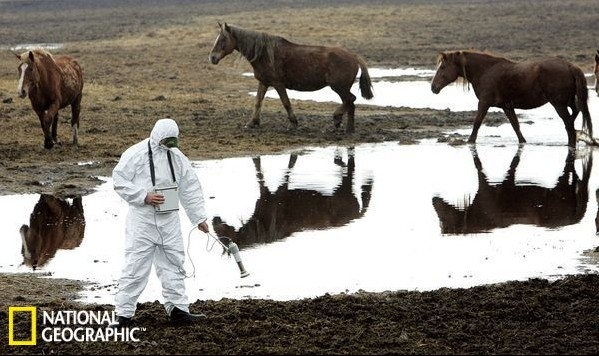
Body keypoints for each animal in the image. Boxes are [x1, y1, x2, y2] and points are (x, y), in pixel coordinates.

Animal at [209, 22, 372, 134]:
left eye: (222, 40)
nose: (212, 58)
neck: (264, 54)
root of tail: (354, 56)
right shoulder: (264, 83)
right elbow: (258, 102)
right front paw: (252, 122)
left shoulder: (278, 84)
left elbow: (286, 103)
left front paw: (293, 123)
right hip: (341, 88)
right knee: (350, 103)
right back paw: (348, 128)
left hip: (339, 87)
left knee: (350, 100)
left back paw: (337, 119)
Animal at [432, 49, 596, 147]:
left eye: (442, 67)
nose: (433, 87)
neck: (485, 71)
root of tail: (570, 66)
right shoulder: (507, 106)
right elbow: (515, 126)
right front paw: (523, 142)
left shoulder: (484, 103)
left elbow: (477, 122)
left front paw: (470, 142)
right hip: (567, 101)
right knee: (575, 114)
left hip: (559, 104)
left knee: (569, 124)